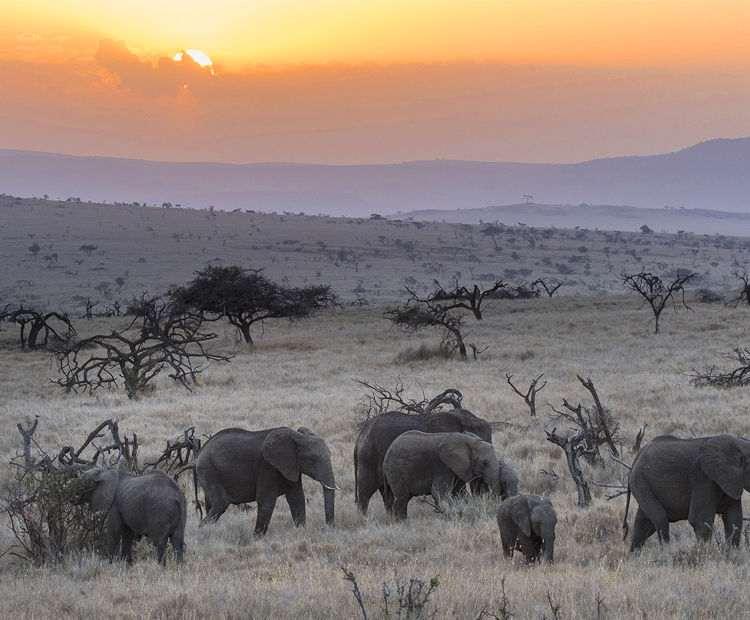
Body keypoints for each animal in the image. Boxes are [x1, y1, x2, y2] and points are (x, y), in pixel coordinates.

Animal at [195, 424, 336, 536]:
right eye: (313, 459)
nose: (327, 528)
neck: (297, 437)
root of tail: (199, 454)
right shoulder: (267, 467)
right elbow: (267, 501)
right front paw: (257, 539)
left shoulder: (292, 467)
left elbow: (297, 498)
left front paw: (301, 533)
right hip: (208, 470)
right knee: (221, 503)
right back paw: (201, 533)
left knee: (211, 504)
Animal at [356, 402, 496, 512]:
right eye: (482, 461)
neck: (466, 420)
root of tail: (362, 433)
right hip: (369, 457)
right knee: (366, 490)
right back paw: (362, 518)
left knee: (387, 494)